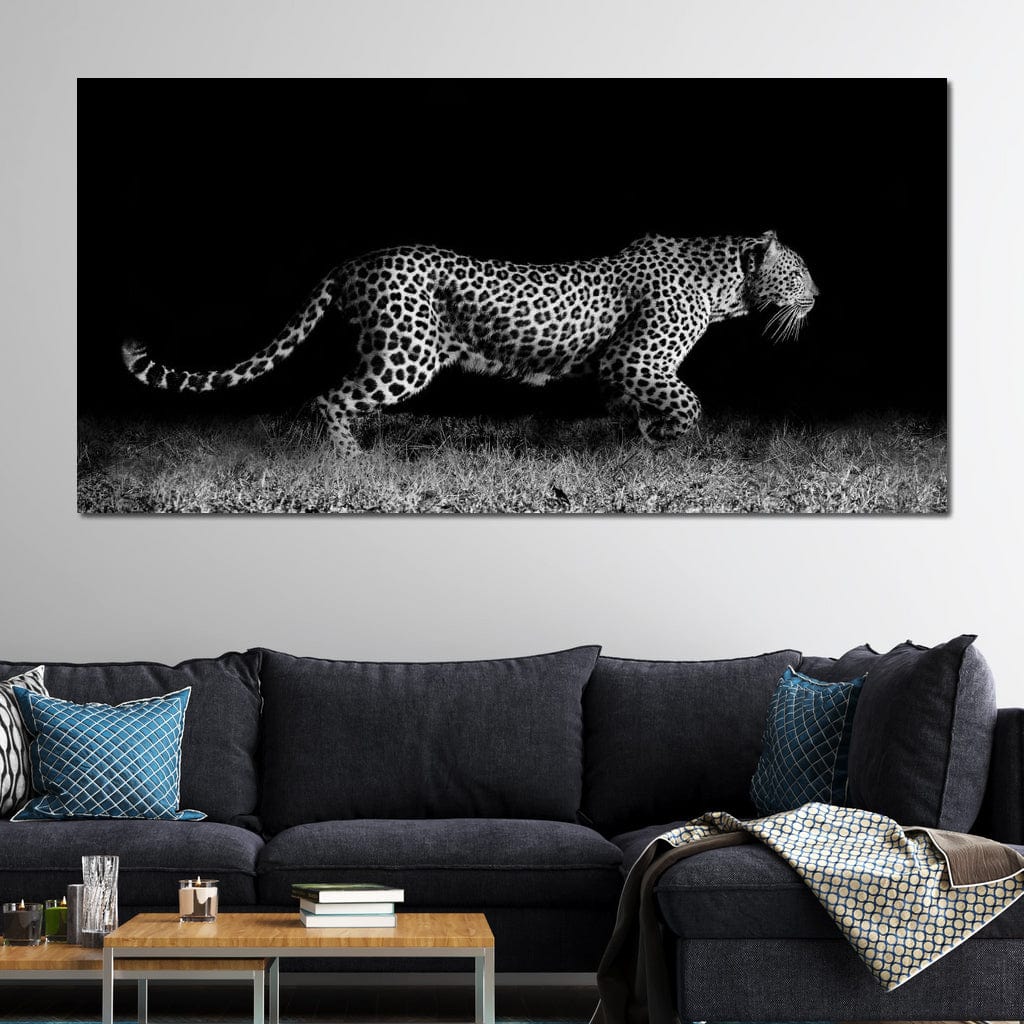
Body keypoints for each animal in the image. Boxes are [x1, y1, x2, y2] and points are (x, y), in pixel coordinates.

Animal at [121, 230, 818, 456]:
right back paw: (352, 461)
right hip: (407, 353)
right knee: (329, 398)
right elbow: (689, 403)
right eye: (801, 271)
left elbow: (644, 406)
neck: (725, 286)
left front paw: (643, 439)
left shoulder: (623, 371)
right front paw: (666, 438)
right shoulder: (632, 359)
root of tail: (353, 261)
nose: (821, 295)